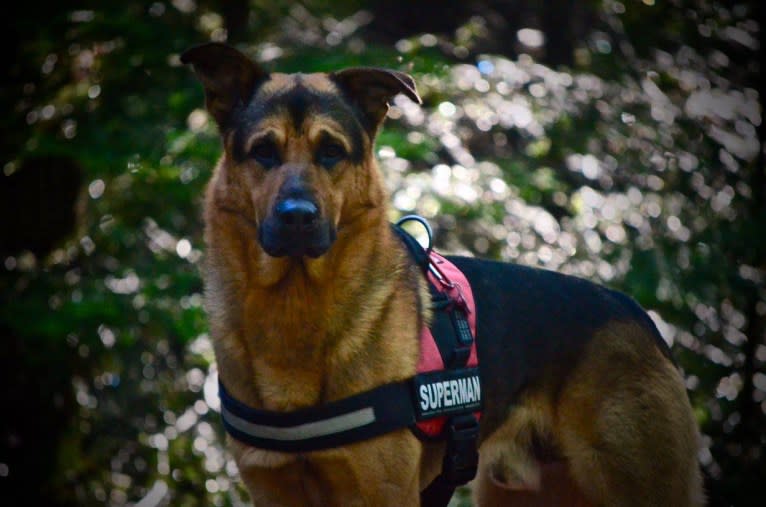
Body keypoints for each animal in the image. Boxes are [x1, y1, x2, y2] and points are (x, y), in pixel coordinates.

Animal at [182, 41, 708, 506]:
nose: (297, 218)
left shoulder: (384, 493)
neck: (293, 307)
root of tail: (634, 311)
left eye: (331, 151)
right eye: (263, 151)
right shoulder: (274, 490)